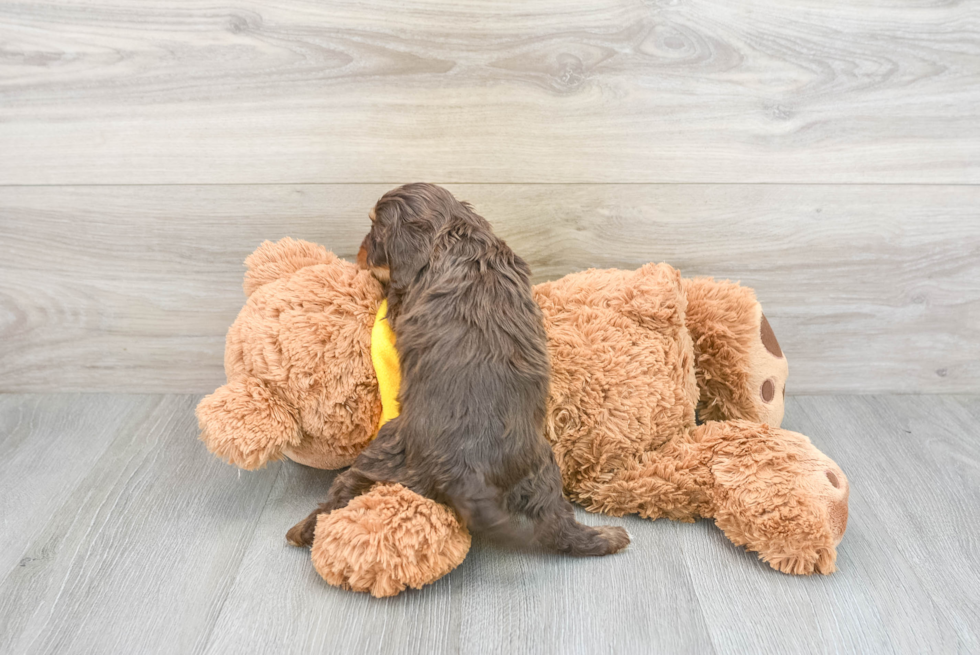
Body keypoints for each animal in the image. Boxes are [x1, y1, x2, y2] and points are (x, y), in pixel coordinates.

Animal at [288, 184, 632, 560]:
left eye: (375, 228)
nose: (359, 254)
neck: (456, 233)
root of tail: (467, 470)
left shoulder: (402, 300)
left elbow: (390, 291)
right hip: (542, 471)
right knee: (558, 525)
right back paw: (609, 537)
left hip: (385, 449)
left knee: (344, 487)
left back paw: (301, 530)